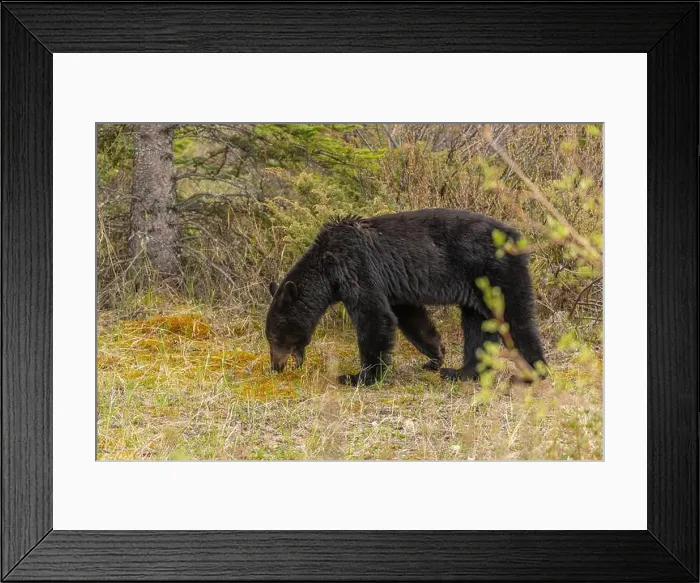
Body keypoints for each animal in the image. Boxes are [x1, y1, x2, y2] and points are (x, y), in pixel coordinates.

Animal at [265, 208, 546, 386]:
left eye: (275, 337)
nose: (275, 367)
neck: (327, 267)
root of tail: (516, 236)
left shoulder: (356, 268)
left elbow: (374, 317)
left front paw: (359, 377)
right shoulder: (394, 287)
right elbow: (411, 316)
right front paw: (436, 355)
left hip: (495, 272)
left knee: (516, 319)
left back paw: (532, 374)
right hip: (477, 287)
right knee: (478, 326)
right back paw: (460, 372)